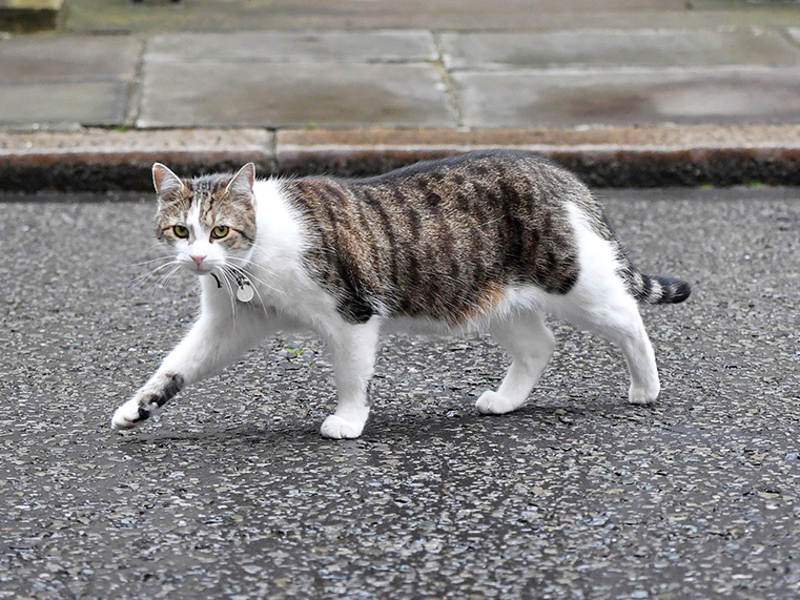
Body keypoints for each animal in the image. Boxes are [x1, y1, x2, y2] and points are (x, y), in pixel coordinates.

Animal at [111, 149, 688, 440]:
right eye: (180, 231)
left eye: (220, 231)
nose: (198, 259)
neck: (252, 263)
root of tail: (558, 172)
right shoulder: (230, 324)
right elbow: (177, 364)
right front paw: (138, 408)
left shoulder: (352, 315)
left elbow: (352, 376)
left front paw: (348, 421)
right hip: (491, 297)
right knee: (538, 346)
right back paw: (505, 400)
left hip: (574, 282)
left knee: (628, 317)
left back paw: (646, 386)